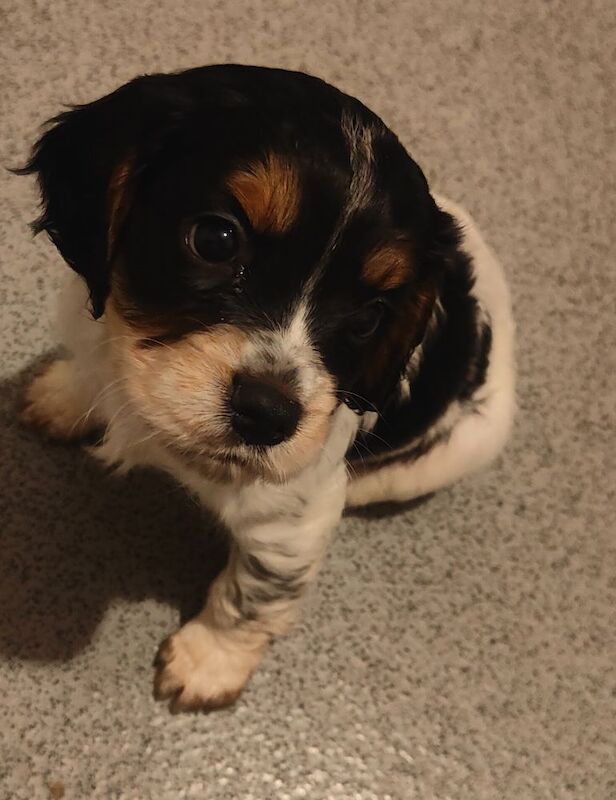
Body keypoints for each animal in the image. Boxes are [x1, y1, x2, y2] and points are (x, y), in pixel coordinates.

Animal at [19, 64, 516, 712]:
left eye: (369, 318)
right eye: (215, 239)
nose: (268, 415)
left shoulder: (288, 524)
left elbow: (251, 596)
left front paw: (208, 661)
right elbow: (90, 369)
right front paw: (63, 398)